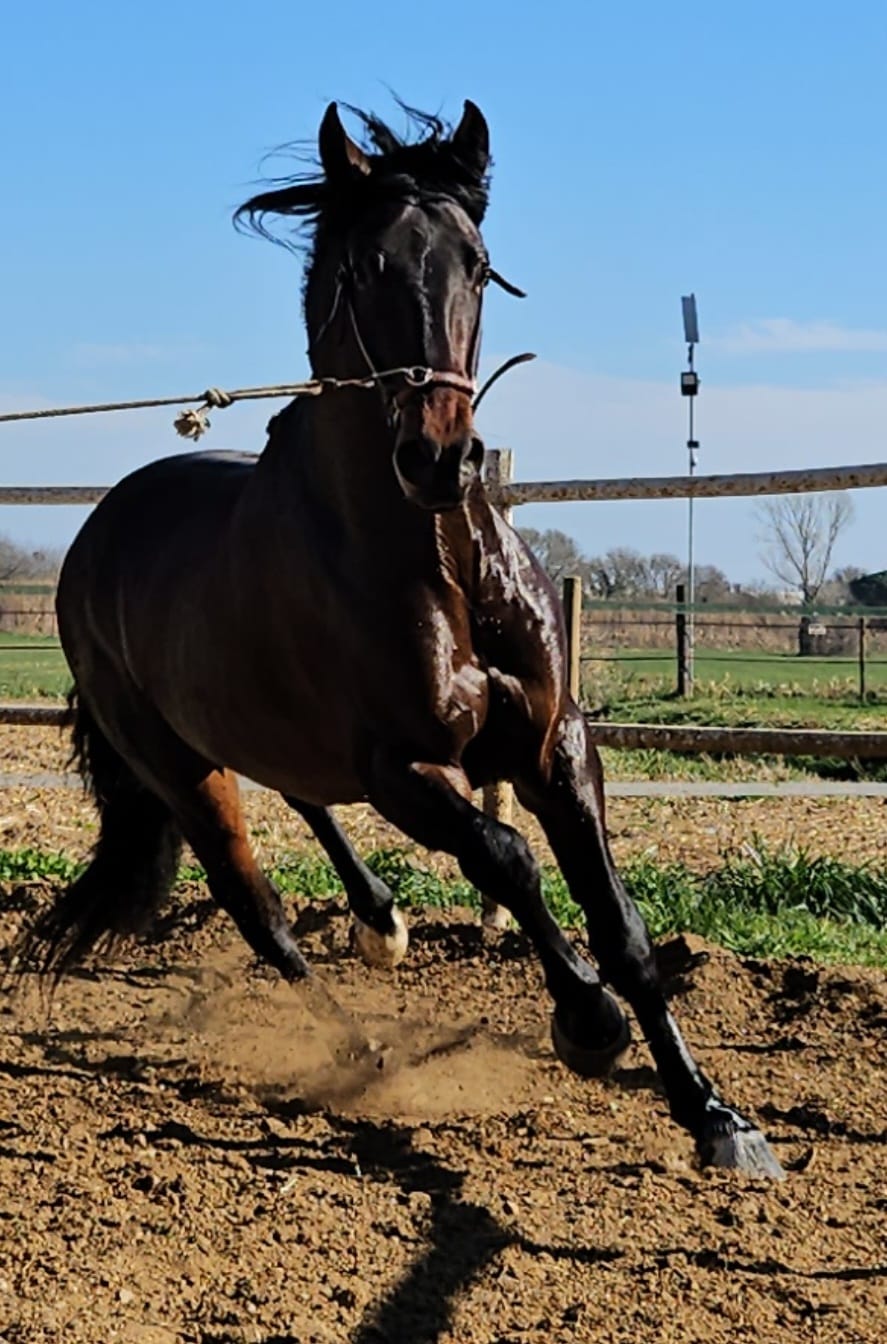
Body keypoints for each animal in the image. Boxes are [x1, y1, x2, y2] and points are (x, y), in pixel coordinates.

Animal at [21, 100, 782, 1178]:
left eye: (478, 262)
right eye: (364, 267)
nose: (439, 457)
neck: (437, 563)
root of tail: (94, 538)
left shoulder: (555, 744)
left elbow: (622, 925)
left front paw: (717, 1118)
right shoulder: (400, 768)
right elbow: (503, 855)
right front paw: (586, 1021)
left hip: (247, 733)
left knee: (302, 799)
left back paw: (380, 918)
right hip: (179, 769)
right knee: (260, 916)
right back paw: (364, 1051)